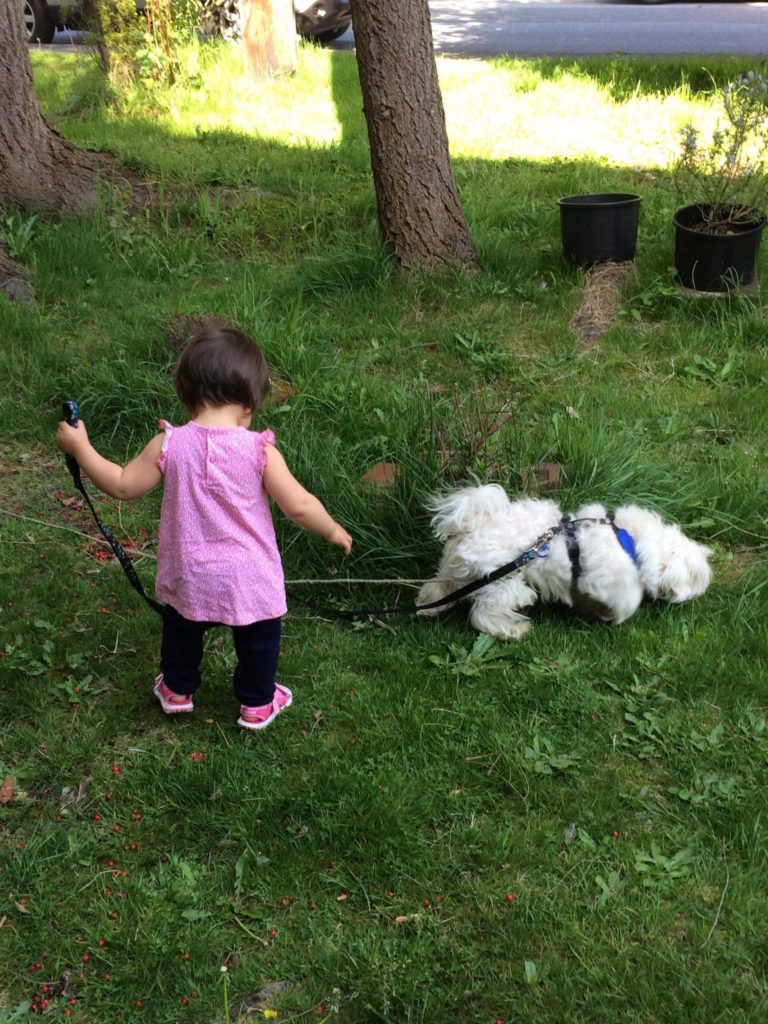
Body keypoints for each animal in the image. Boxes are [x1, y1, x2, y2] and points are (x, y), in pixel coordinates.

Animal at [417, 485, 712, 638]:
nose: (700, 594)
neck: (629, 539)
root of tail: (472, 525)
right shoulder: (611, 580)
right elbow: (627, 600)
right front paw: (611, 615)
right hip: (504, 583)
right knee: (483, 614)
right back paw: (514, 629)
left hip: (458, 572)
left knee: (438, 586)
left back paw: (427, 608)